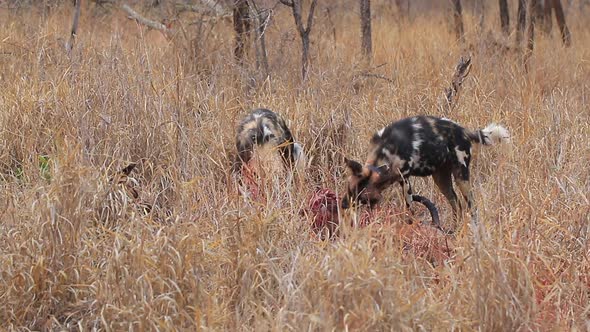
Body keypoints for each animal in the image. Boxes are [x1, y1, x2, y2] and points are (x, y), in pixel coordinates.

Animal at [344, 115, 512, 224]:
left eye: (362, 199)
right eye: (349, 191)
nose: (343, 205)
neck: (384, 151)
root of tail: (463, 130)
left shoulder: (405, 181)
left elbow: (409, 210)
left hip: (461, 178)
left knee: (472, 206)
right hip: (441, 180)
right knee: (457, 205)